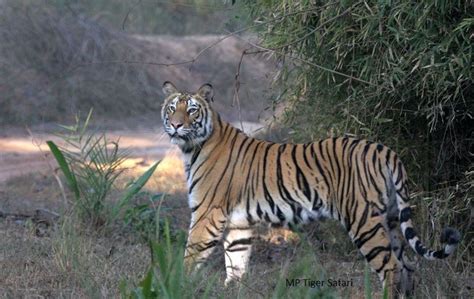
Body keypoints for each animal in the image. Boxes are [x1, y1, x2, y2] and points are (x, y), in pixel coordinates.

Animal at [161, 81, 462, 298]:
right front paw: (232, 291)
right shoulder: (238, 224)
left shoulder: (207, 214)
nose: (175, 125)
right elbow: (236, 264)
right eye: (172, 108)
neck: (191, 147)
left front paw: (178, 284)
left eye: (192, 110)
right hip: (390, 219)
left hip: (363, 220)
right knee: (407, 267)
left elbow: (190, 255)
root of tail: (385, 150)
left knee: (391, 268)